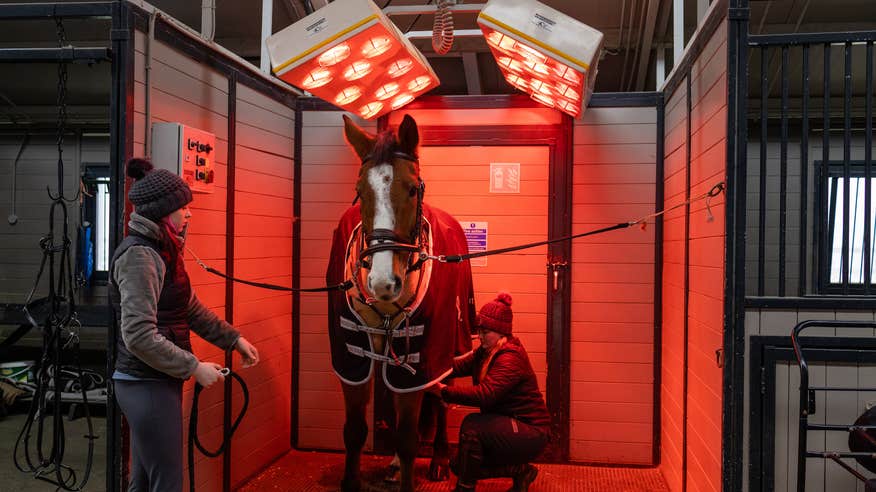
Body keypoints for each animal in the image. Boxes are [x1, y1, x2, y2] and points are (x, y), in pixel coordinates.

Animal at [326, 113, 480, 490]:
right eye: (360, 191)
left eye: (411, 188)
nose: (383, 283)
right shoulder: (352, 356)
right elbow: (355, 431)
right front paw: (352, 480)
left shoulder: (422, 355)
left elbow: (410, 437)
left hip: (451, 345)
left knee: (441, 398)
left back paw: (439, 459)